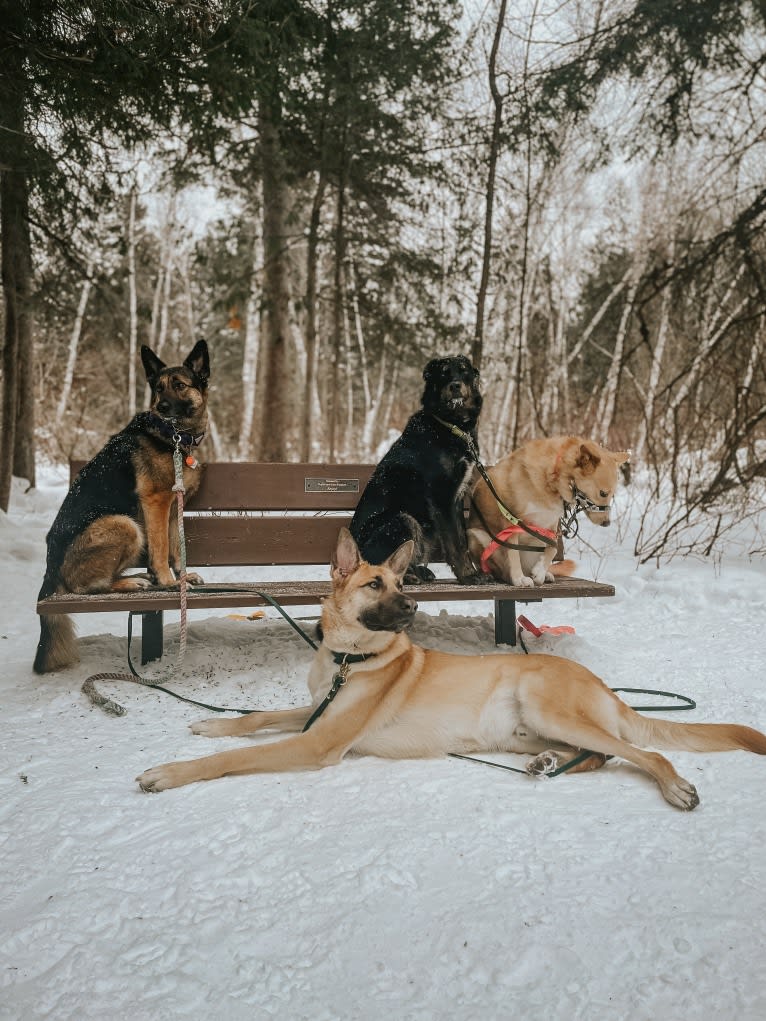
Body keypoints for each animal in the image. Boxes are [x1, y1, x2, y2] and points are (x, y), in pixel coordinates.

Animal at [137, 526, 766, 804]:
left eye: (401, 584)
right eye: (375, 584)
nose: (414, 606)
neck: (349, 660)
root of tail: (603, 685)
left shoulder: (318, 742)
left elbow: (234, 757)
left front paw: (168, 772)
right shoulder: (315, 713)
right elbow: (255, 719)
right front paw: (209, 722)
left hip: (549, 707)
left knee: (640, 752)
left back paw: (673, 785)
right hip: (529, 729)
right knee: (598, 754)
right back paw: (548, 765)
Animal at [351, 357, 482, 584]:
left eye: (464, 370)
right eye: (444, 373)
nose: (455, 386)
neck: (450, 424)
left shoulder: (456, 498)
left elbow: (462, 539)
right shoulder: (442, 497)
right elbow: (455, 543)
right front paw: (467, 575)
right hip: (403, 519)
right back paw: (410, 575)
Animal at [467, 434, 629, 588]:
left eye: (612, 494)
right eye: (603, 493)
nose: (607, 523)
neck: (553, 480)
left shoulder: (550, 526)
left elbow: (553, 549)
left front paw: (540, 572)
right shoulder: (511, 521)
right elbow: (513, 554)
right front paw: (518, 578)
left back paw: (545, 574)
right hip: (477, 536)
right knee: (502, 570)